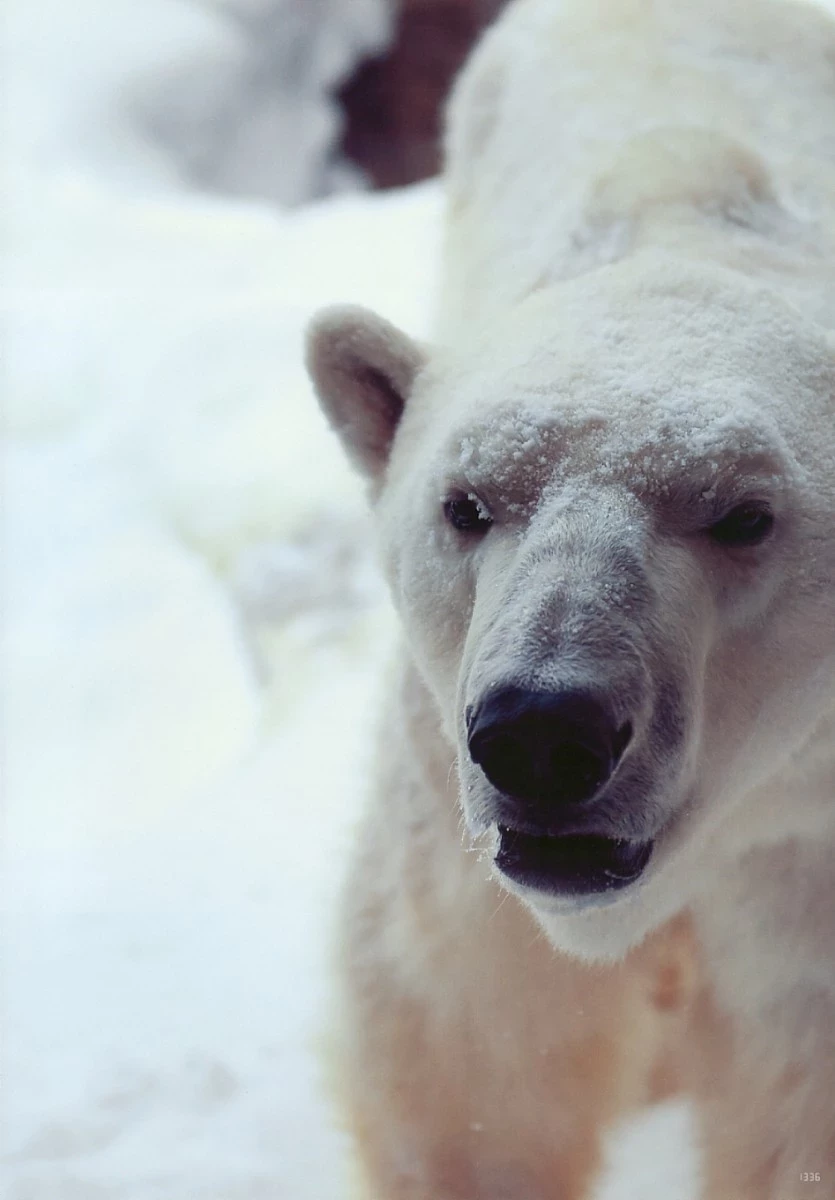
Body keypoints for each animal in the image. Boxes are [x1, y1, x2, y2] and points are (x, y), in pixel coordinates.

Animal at [303, 2, 835, 1200]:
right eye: (464, 503)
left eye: (741, 514)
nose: (544, 732)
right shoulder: (451, 812)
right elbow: (470, 1056)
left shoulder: (803, 842)